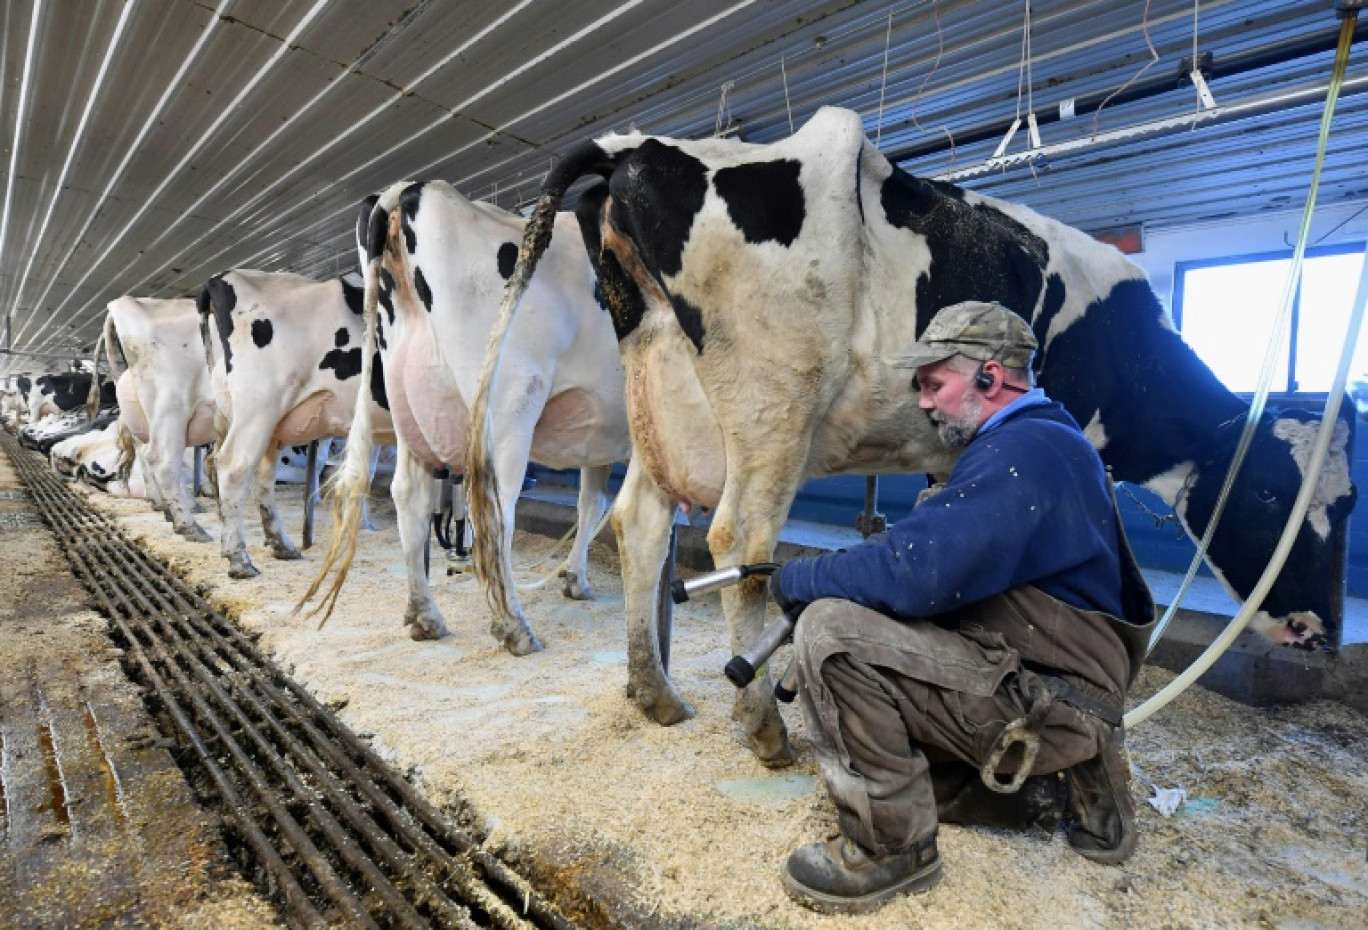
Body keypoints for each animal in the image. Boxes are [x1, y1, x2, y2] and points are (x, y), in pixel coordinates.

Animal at [196, 265, 396, 577]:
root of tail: (222, 277)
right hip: (259, 405)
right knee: (233, 465)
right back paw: (239, 560)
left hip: (262, 421)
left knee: (259, 476)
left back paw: (282, 545)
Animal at [306, 179, 629, 645]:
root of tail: (411, 189)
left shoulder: (598, 437)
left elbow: (591, 503)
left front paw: (576, 578)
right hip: (508, 405)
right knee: (493, 506)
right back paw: (513, 625)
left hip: (408, 407)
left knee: (408, 496)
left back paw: (424, 615)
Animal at [470, 107, 1357, 760]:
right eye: (1271, 491)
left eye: (1350, 503)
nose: (1321, 630)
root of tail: (634, 147)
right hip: (773, 401)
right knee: (737, 540)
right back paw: (763, 727)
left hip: (665, 404)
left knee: (643, 524)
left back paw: (655, 694)